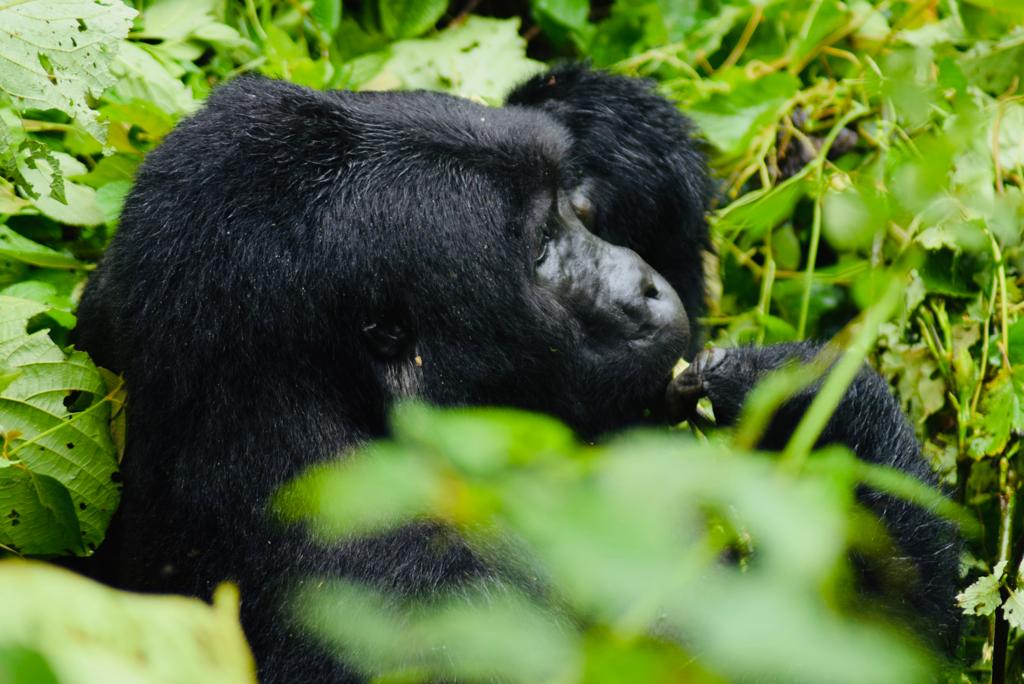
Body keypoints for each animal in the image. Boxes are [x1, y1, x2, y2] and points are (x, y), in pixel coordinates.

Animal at [74, 62, 958, 679]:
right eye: (538, 249)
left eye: (573, 206)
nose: (644, 288)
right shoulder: (431, 601)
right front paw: (822, 409)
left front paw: (610, 130)